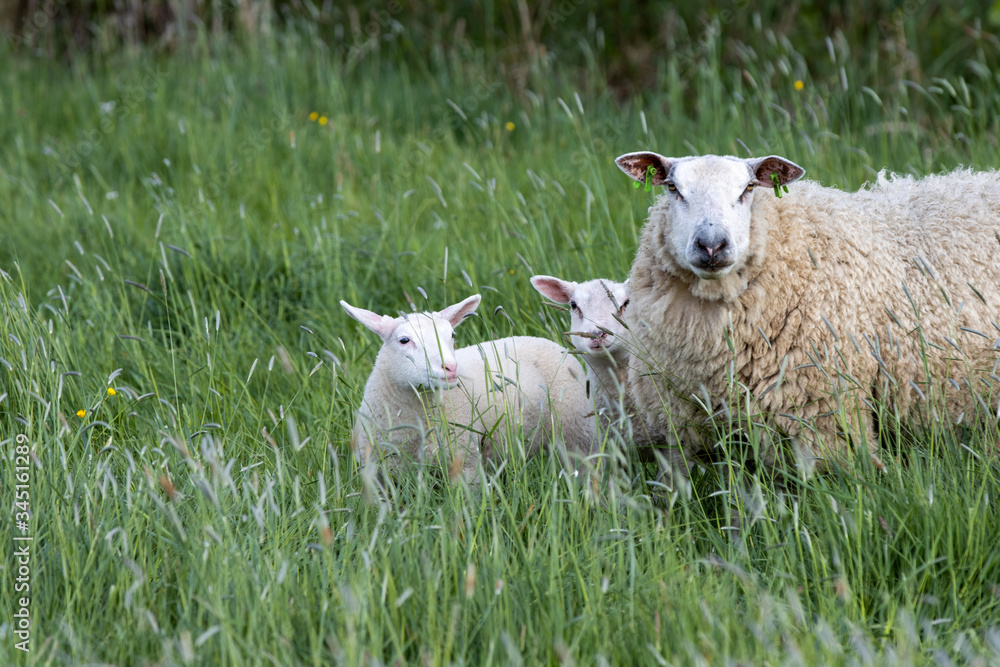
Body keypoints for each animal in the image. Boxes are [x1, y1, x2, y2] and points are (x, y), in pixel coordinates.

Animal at [341, 294, 595, 483]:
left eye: (451, 335)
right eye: (404, 340)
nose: (451, 367)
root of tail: (545, 341)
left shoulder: (465, 464)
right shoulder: (382, 471)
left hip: (576, 432)